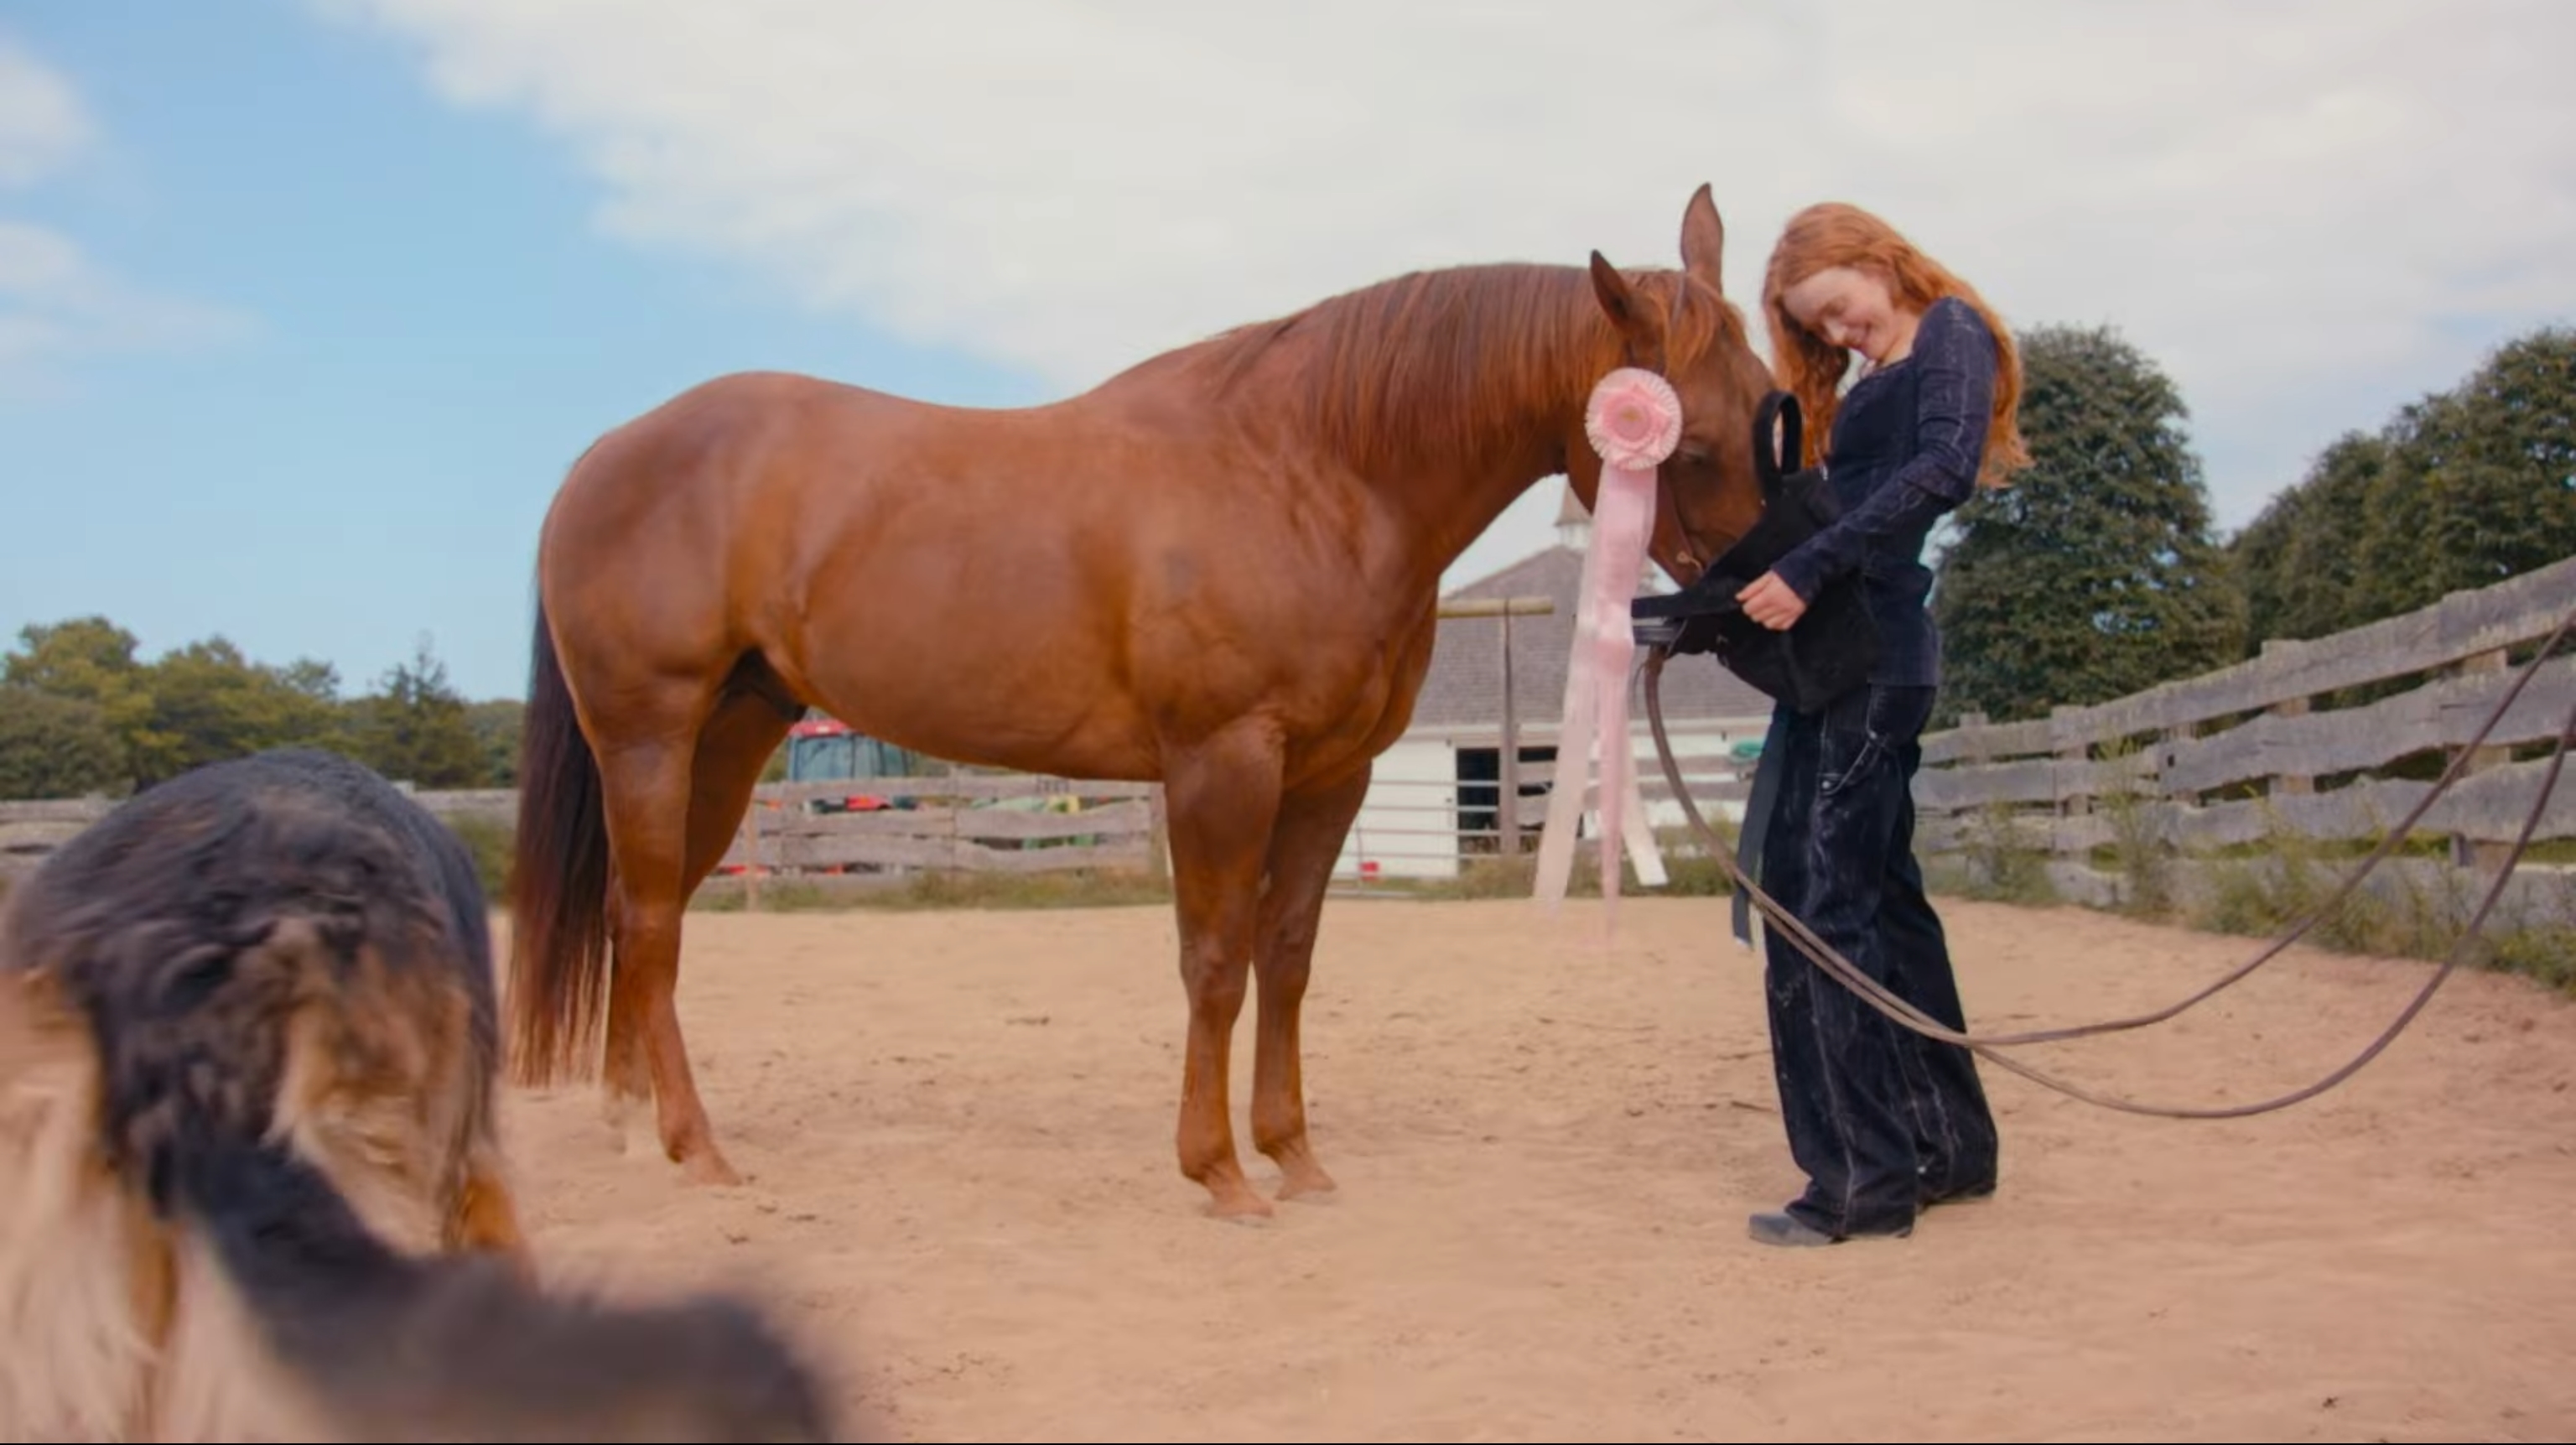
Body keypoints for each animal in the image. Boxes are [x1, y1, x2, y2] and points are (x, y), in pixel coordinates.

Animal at [510, 179, 1782, 1215]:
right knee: (654, 921)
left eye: (1771, 410)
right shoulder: (1224, 760)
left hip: (727, 738)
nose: (1753, 601)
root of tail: (600, 459)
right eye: (1690, 444)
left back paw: (633, 1126)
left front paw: (1295, 1155)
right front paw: (1217, 1170)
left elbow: (1288, 953)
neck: (1313, 470)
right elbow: (1214, 957)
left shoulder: (1333, 773)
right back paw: (696, 1148)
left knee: (641, 915)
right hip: (650, 736)